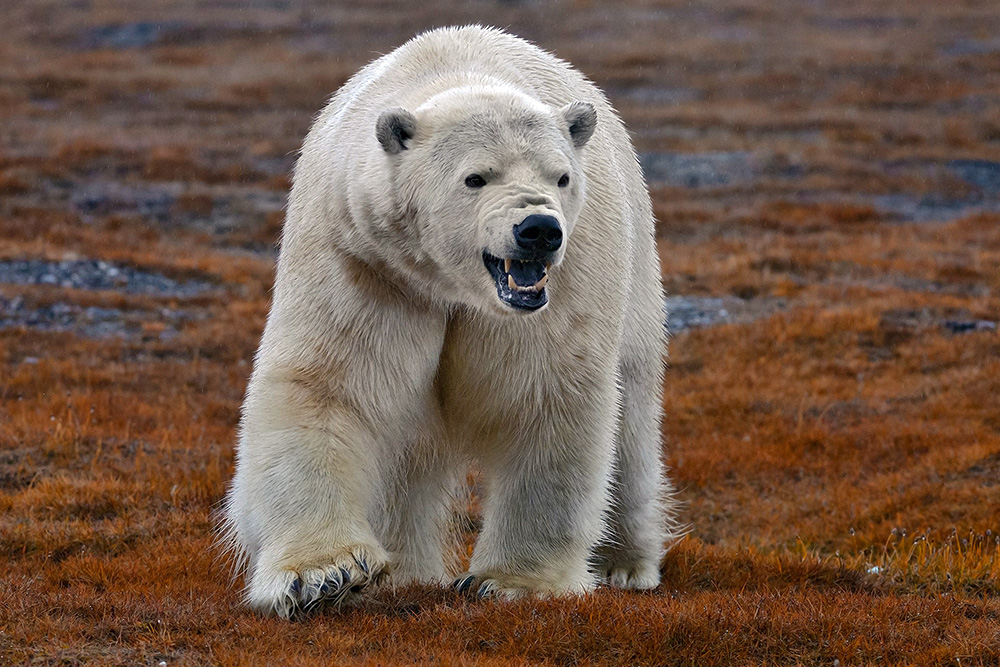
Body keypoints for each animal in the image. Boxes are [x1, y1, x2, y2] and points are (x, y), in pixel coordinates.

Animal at [222, 26, 680, 620]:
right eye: (475, 177)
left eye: (561, 177)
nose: (539, 229)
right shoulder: (364, 259)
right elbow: (327, 385)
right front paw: (325, 575)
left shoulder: (562, 284)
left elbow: (544, 394)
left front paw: (511, 583)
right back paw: (404, 573)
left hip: (637, 273)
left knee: (633, 419)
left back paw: (624, 565)